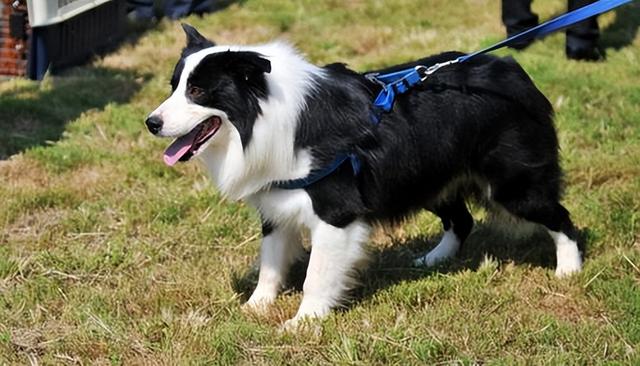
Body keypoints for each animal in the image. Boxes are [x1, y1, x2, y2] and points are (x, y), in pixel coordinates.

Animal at [148, 25, 584, 328]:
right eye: (174, 87)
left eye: (199, 91)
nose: (151, 123)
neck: (267, 117)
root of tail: (511, 69)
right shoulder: (276, 201)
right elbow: (270, 263)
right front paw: (255, 307)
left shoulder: (336, 211)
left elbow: (316, 274)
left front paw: (303, 322)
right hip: (428, 178)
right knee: (461, 220)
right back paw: (434, 259)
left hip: (513, 184)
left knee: (561, 218)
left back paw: (568, 270)